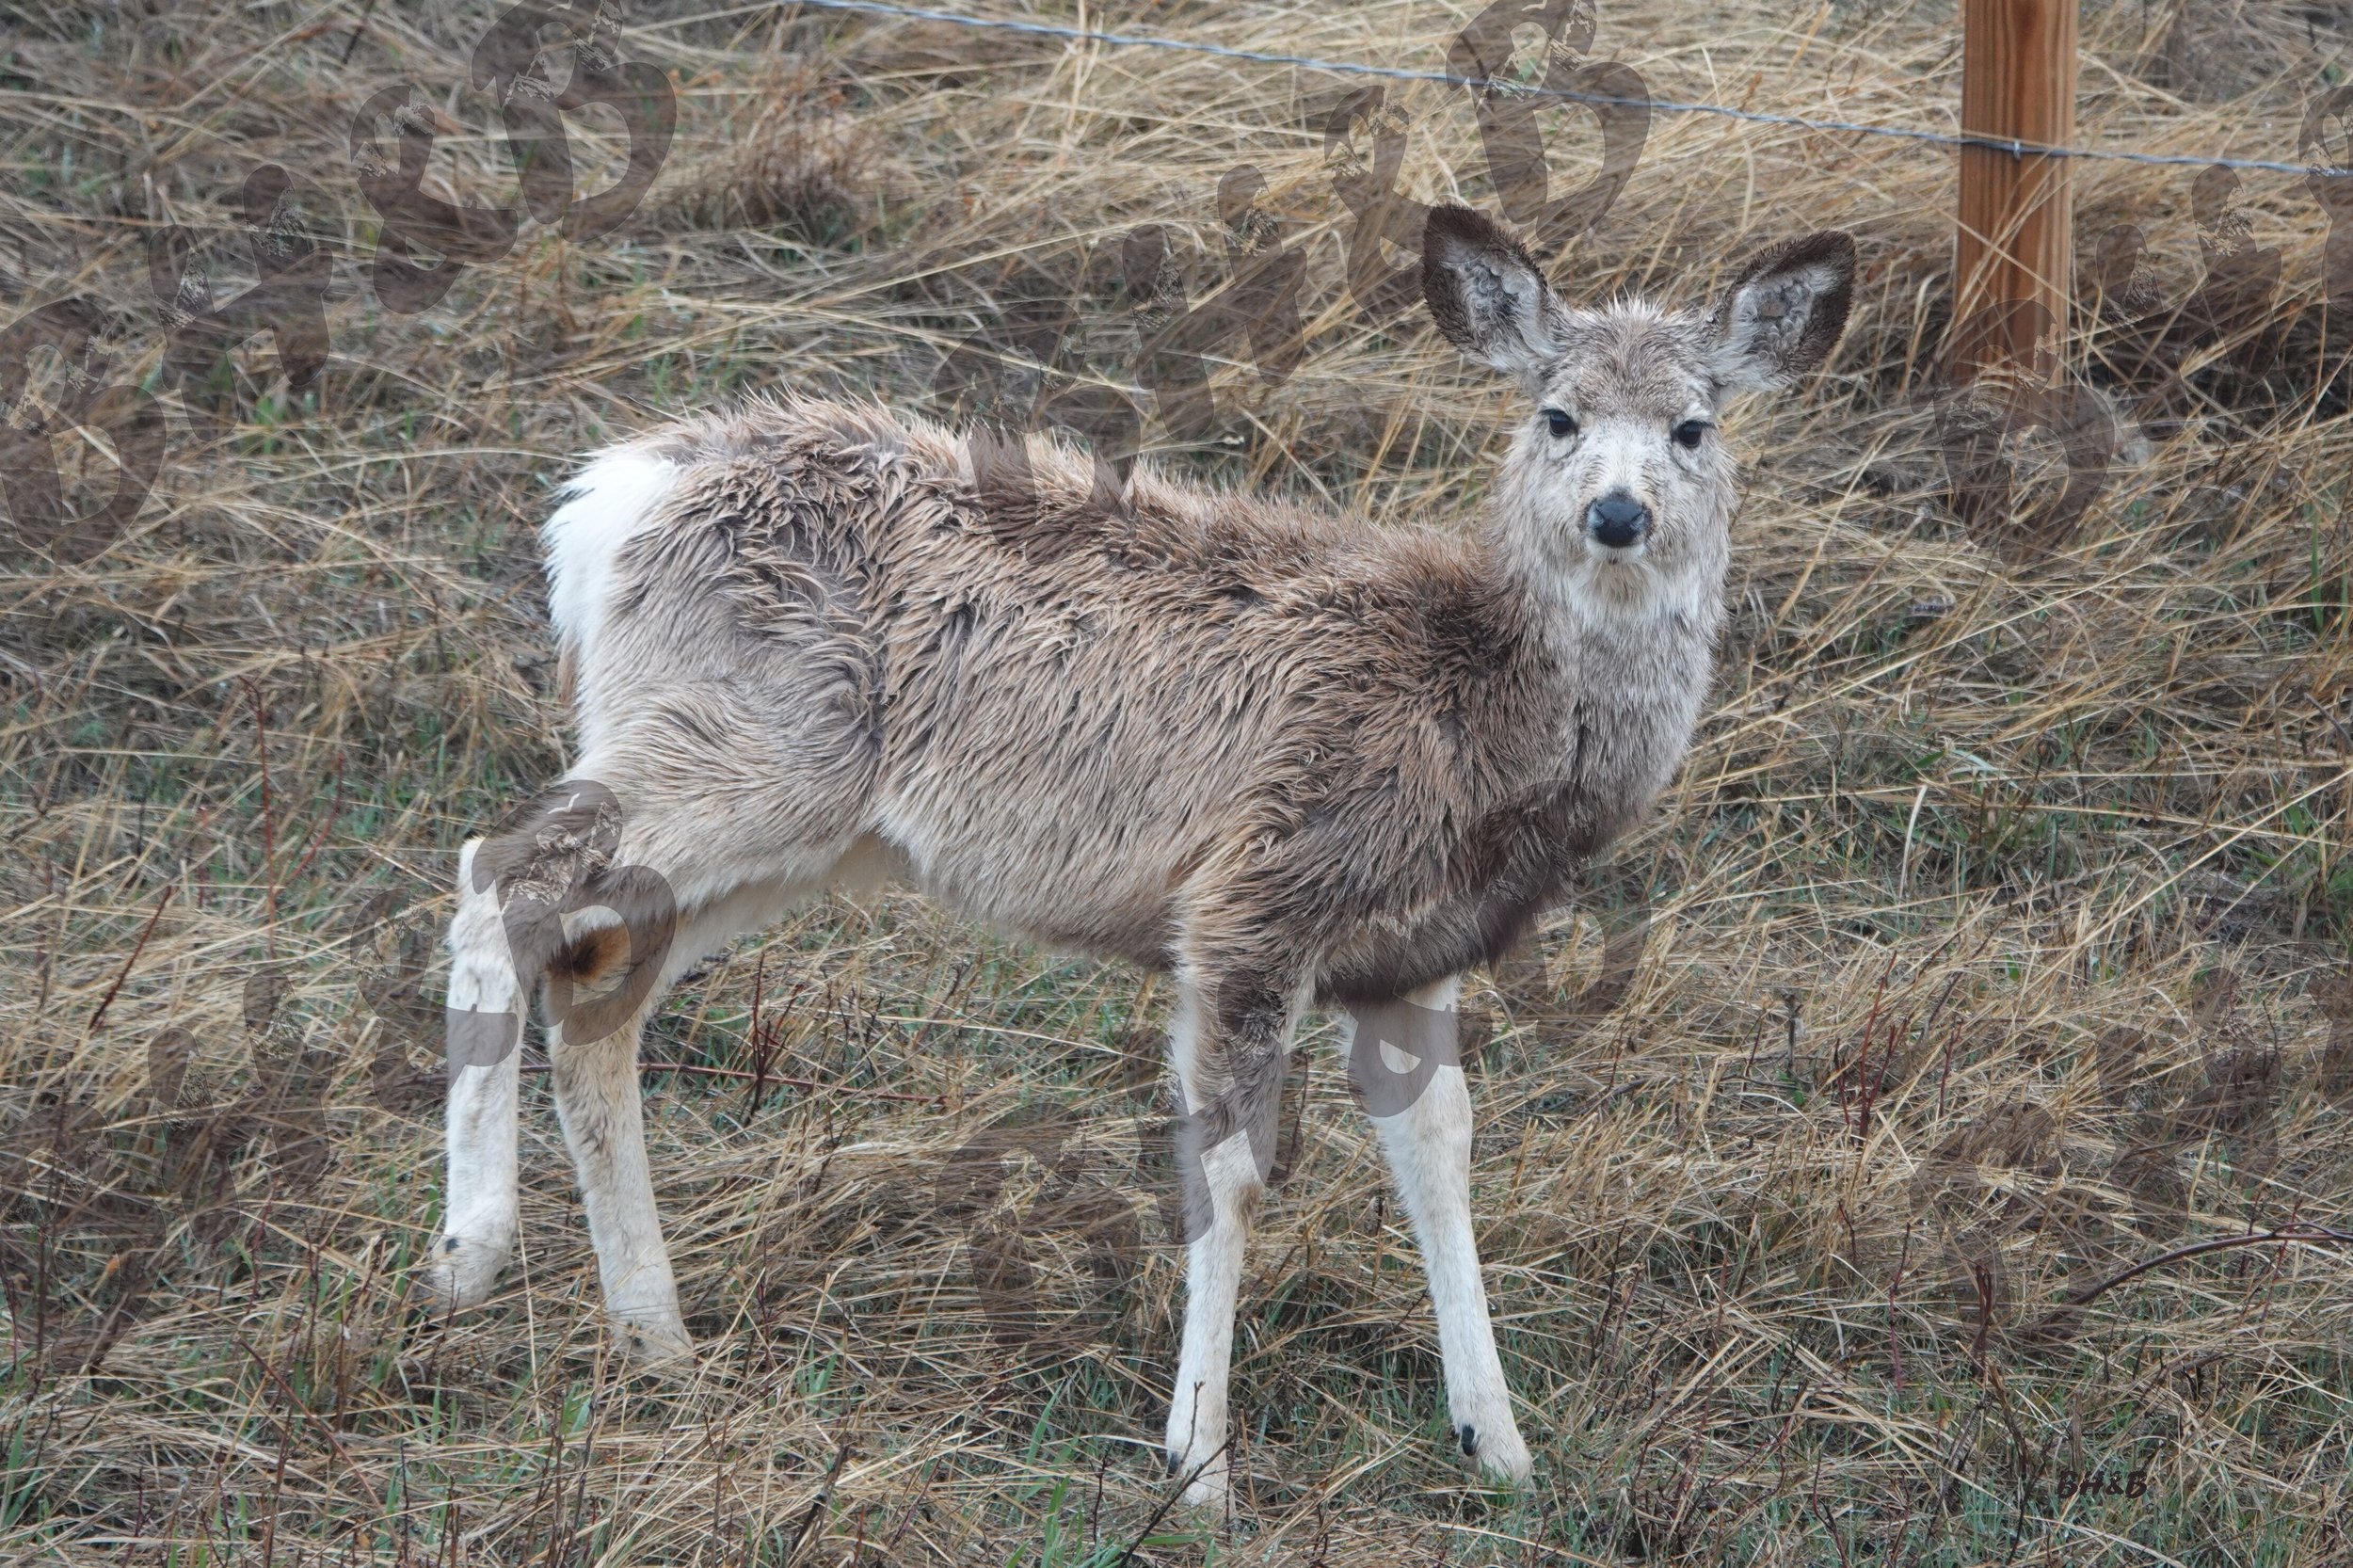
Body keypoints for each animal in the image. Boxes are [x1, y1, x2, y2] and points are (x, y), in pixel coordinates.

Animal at [421, 203, 1855, 1507]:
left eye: (1694, 426)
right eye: (1556, 414)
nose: (1617, 514)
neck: (1480, 708)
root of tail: (611, 502)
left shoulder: (1407, 955)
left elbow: (1441, 1157)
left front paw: (1497, 1445)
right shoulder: (1254, 894)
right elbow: (1229, 1165)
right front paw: (1199, 1464)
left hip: (802, 832)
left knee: (599, 978)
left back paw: (656, 1338)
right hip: (745, 751)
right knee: (500, 869)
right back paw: (469, 1251)